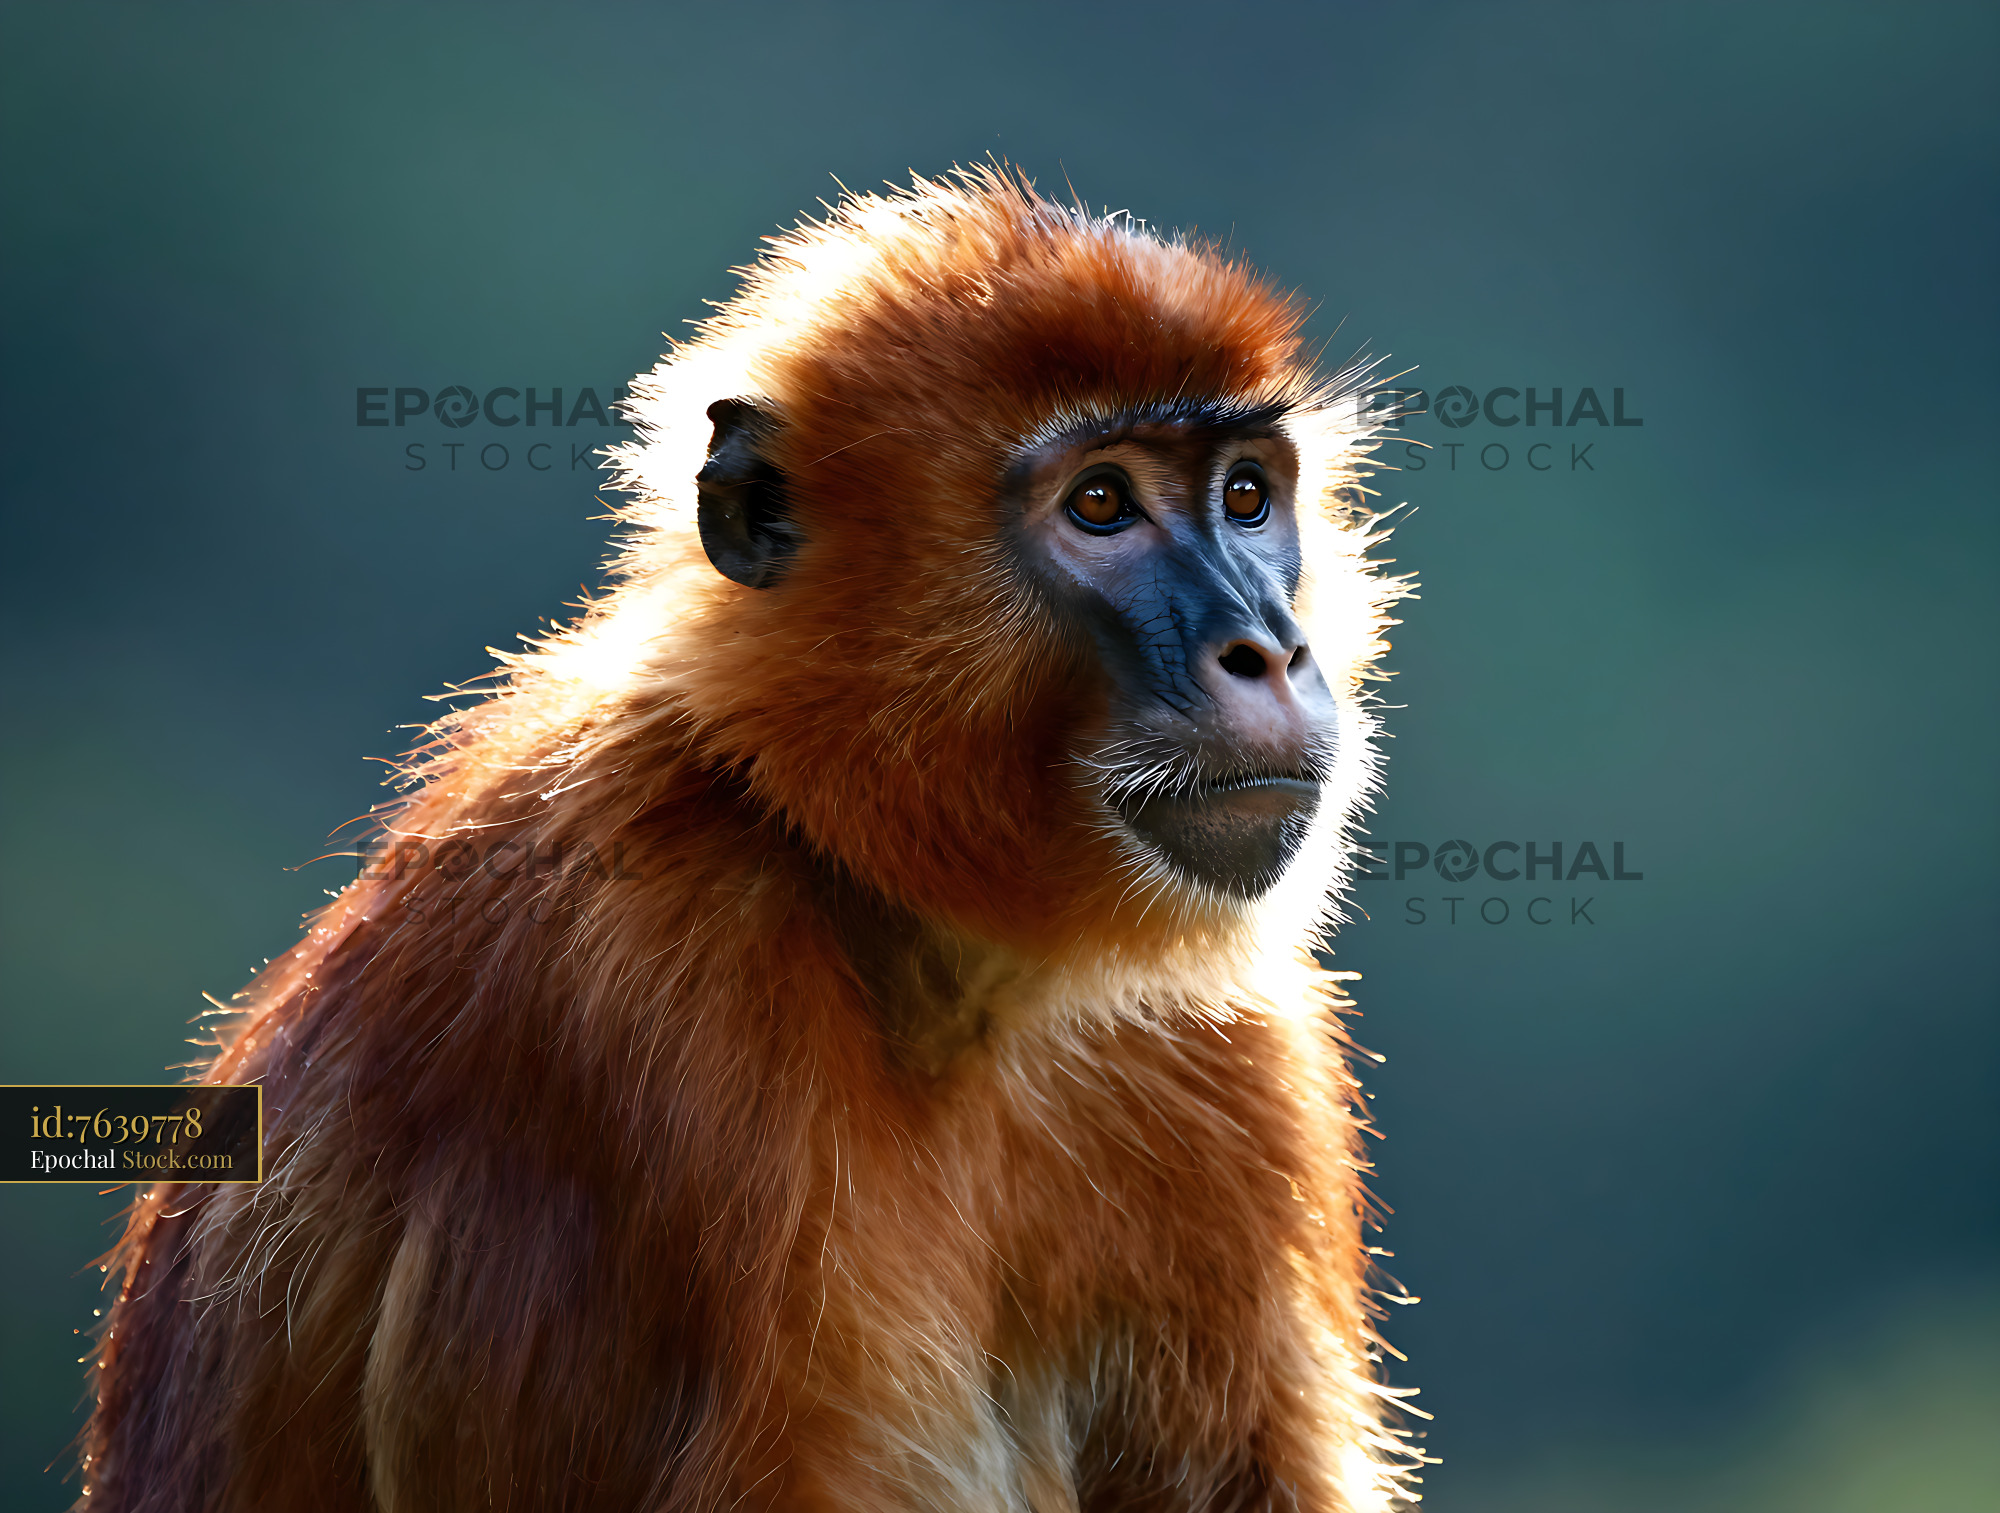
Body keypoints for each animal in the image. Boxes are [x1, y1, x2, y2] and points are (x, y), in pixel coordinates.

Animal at [79, 167, 1423, 1512]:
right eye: (1100, 504)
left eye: (1244, 497)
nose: (1266, 647)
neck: (928, 975)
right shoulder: (651, 985)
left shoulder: (1225, 1043)